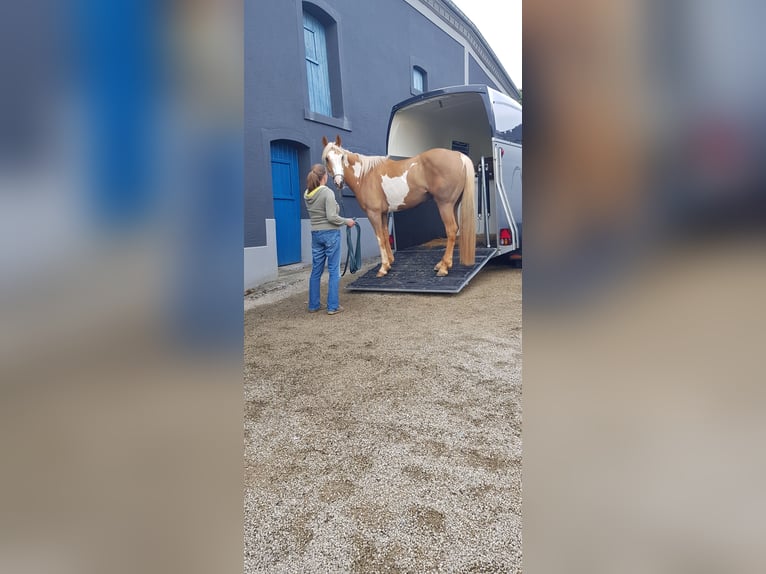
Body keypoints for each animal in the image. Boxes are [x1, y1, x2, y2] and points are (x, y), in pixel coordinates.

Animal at [321, 135, 475, 277]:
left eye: (341, 157)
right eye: (327, 158)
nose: (339, 182)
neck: (365, 175)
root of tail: (459, 156)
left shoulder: (373, 213)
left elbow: (379, 237)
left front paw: (383, 268)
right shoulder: (383, 213)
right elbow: (384, 235)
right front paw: (389, 262)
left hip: (445, 204)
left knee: (451, 230)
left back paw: (443, 268)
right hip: (453, 205)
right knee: (455, 229)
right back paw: (443, 264)